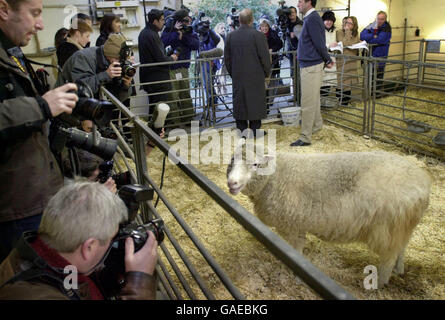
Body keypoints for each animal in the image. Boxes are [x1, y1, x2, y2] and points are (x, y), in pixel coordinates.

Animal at [225, 146, 430, 288]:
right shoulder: (296, 224)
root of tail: (423, 184)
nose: (231, 183)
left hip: (387, 228)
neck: (273, 178)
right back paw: (399, 269)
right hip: (402, 226)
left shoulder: (291, 225)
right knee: (401, 247)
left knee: (388, 257)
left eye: (255, 164)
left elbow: (295, 250)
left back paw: (378, 283)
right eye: (232, 162)